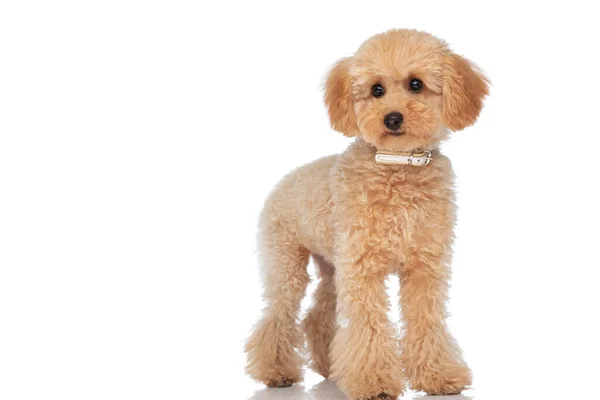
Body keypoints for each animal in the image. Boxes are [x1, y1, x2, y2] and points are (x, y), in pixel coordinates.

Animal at [244, 30, 488, 400]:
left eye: (416, 84)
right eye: (376, 89)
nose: (392, 118)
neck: (397, 166)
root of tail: (282, 183)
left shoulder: (425, 268)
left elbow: (426, 321)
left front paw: (438, 375)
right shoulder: (363, 268)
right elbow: (368, 326)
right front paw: (374, 382)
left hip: (331, 266)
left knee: (318, 316)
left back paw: (330, 367)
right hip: (288, 265)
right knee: (277, 317)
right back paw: (277, 372)